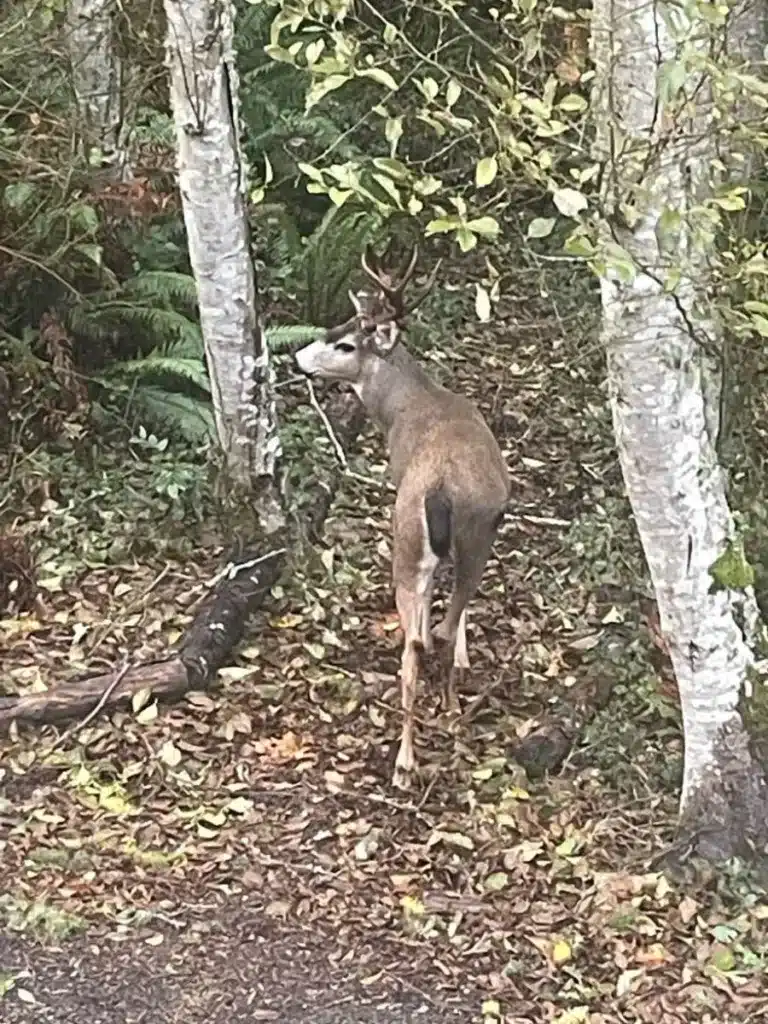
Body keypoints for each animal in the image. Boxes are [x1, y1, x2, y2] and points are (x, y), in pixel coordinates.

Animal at [296, 247, 512, 790]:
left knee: (414, 642)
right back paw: (444, 714)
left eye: (345, 340)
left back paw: (405, 760)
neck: (405, 409)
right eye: (337, 325)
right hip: (466, 537)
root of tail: (440, 490)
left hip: (413, 537)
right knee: (433, 629)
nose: (298, 358)